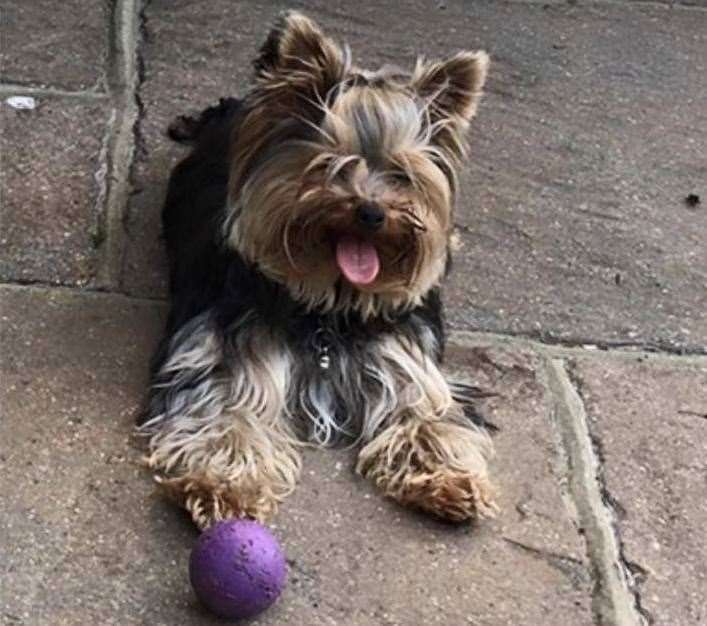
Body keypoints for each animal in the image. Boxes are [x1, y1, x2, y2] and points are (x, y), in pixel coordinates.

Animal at [136, 9, 496, 528]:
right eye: (331, 164)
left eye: (401, 174)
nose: (371, 212)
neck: (329, 309)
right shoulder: (225, 355)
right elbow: (229, 411)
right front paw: (223, 487)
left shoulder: (408, 360)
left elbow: (427, 413)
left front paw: (448, 479)